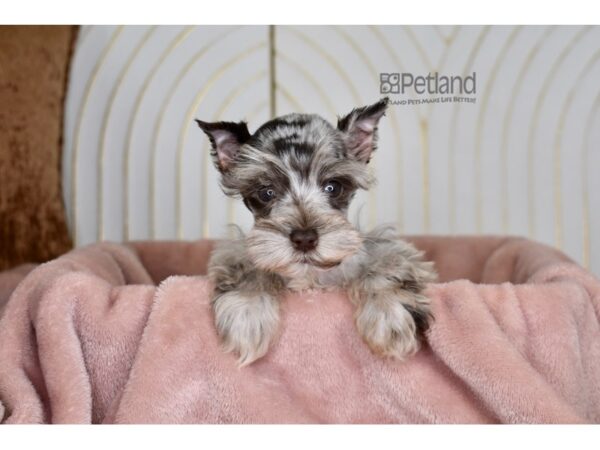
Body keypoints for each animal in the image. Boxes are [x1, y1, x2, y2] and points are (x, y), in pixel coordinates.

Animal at [197, 97, 436, 366]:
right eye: (266, 192)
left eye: (333, 187)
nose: (304, 239)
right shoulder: (239, 251)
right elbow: (245, 264)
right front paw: (248, 311)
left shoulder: (385, 247)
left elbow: (388, 263)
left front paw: (389, 314)